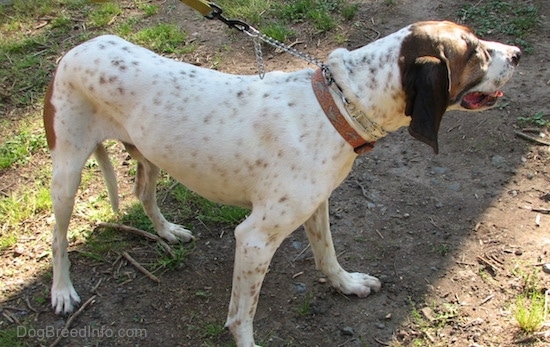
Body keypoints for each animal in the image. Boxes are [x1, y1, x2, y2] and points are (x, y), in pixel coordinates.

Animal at [44, 21, 520, 346]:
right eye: (474, 52)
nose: (516, 53)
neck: (338, 104)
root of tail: (75, 49)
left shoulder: (316, 205)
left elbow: (327, 256)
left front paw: (347, 285)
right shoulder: (254, 239)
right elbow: (242, 315)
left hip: (149, 154)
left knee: (143, 192)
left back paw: (167, 232)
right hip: (66, 172)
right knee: (58, 236)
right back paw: (63, 291)